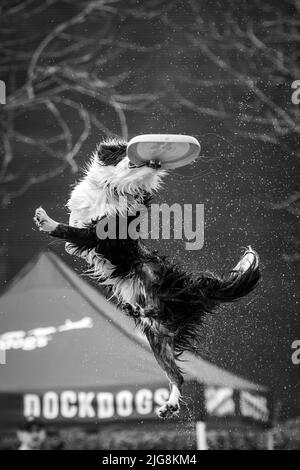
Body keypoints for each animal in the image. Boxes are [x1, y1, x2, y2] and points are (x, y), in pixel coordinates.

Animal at [34, 137, 260, 418]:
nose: (154, 160)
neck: (113, 188)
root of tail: (195, 290)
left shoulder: (101, 236)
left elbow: (69, 230)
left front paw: (46, 221)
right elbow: (72, 231)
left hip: (160, 297)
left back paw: (135, 311)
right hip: (158, 341)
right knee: (177, 376)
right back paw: (170, 405)